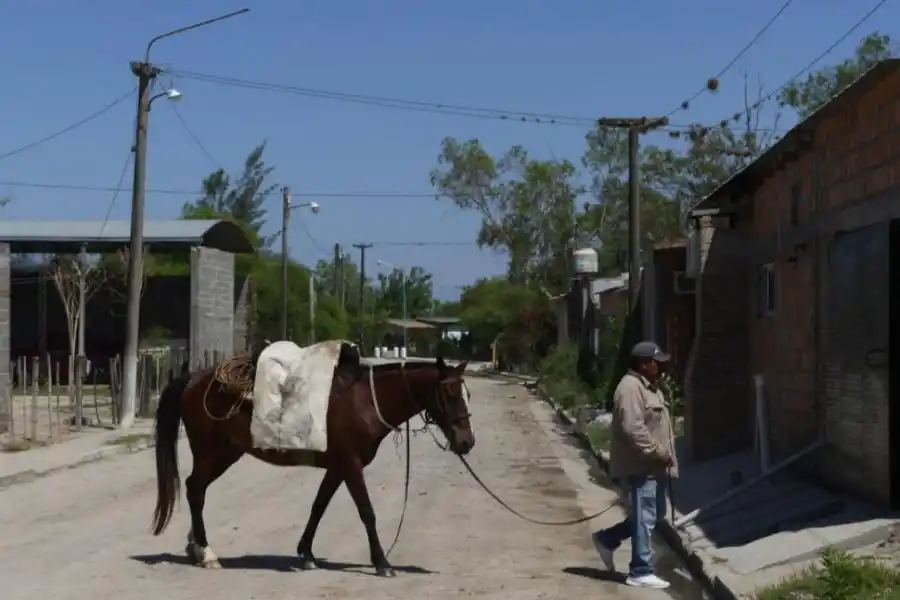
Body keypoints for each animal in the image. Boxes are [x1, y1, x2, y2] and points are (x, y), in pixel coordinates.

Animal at [149, 343, 474, 577]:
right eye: (449, 393)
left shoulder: (338, 466)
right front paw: (382, 562)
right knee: (195, 490)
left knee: (197, 489)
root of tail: (194, 378)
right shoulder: (351, 464)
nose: (466, 442)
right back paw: (206, 553)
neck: (364, 402)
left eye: (467, 393)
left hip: (225, 453)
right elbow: (367, 512)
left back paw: (195, 548)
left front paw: (306, 554)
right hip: (212, 452)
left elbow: (318, 506)